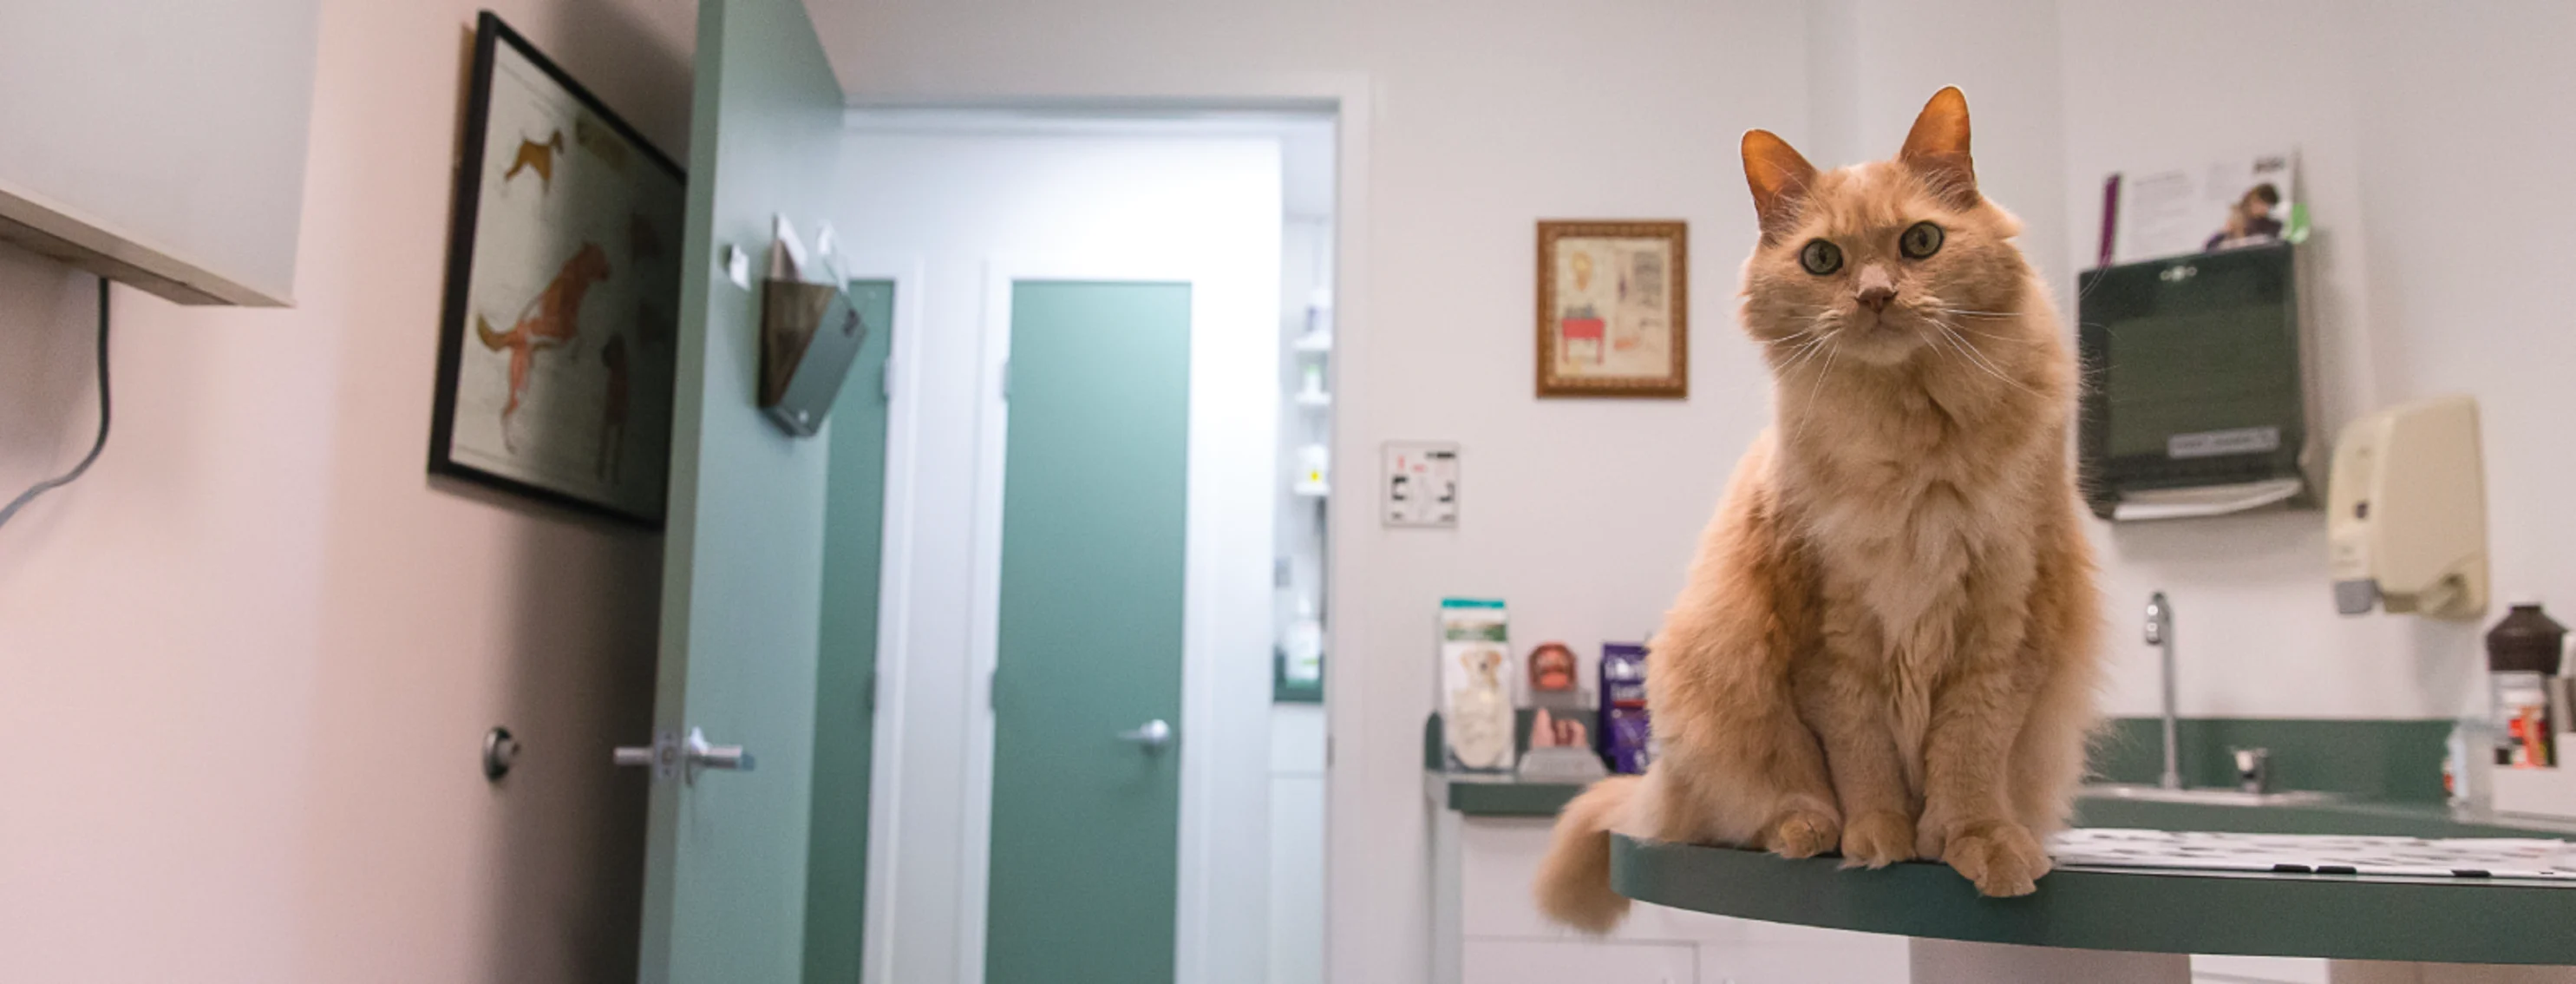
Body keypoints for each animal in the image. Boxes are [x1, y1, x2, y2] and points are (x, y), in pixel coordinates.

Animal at [1535, 86, 2102, 932]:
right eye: (1823, 260)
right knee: (1755, 804)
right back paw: (1805, 828)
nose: (1875, 296)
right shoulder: (1831, 631)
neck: (1911, 443)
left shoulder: (2005, 620)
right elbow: (1860, 753)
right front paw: (1878, 834)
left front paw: (1976, 841)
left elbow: (1971, 754)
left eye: (1922, 242)